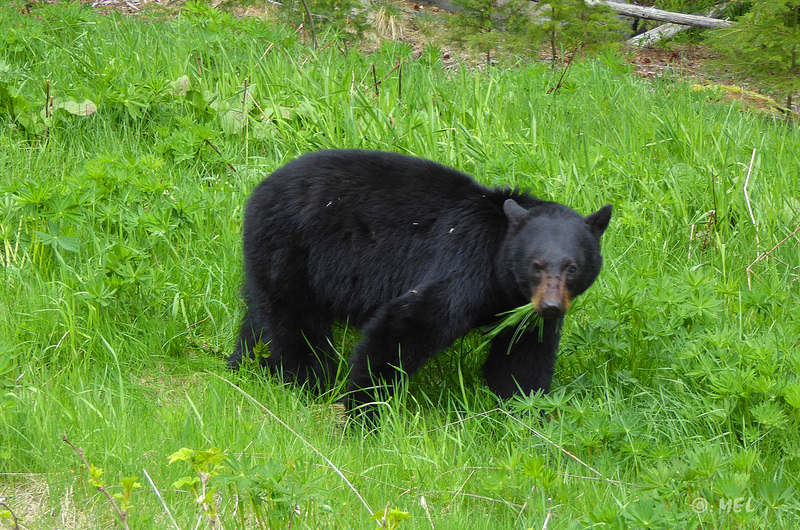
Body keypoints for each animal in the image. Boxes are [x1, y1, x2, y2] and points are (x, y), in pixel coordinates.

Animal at [231, 148, 612, 416]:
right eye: (536, 265)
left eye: (573, 268)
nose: (551, 306)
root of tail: (260, 188)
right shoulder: (465, 267)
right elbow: (404, 325)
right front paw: (365, 411)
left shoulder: (518, 307)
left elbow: (522, 356)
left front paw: (528, 415)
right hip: (293, 251)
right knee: (295, 324)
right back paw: (307, 383)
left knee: (259, 318)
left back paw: (244, 365)